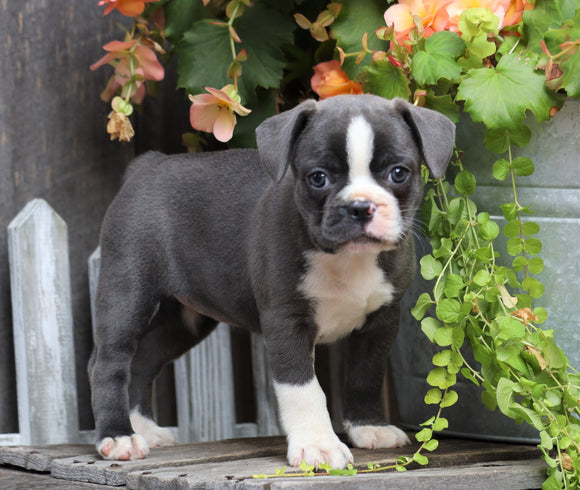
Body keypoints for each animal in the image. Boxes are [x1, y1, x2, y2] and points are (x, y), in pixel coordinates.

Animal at [88, 94, 456, 468]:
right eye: (318, 178)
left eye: (398, 173)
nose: (360, 206)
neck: (346, 259)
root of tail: (147, 164)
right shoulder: (286, 322)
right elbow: (303, 389)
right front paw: (318, 445)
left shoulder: (380, 321)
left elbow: (365, 374)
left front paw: (370, 426)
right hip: (127, 292)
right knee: (109, 361)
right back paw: (118, 435)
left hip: (184, 319)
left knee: (144, 359)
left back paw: (144, 428)